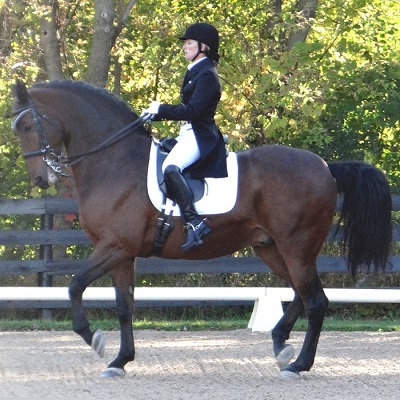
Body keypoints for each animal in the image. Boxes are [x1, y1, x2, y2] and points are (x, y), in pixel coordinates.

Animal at [10, 79, 392, 380]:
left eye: (27, 126)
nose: (41, 179)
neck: (113, 161)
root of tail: (326, 166)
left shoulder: (114, 247)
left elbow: (74, 286)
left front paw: (96, 340)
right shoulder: (122, 254)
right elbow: (124, 306)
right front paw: (120, 361)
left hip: (296, 246)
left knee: (315, 301)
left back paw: (298, 365)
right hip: (271, 247)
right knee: (301, 293)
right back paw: (281, 345)